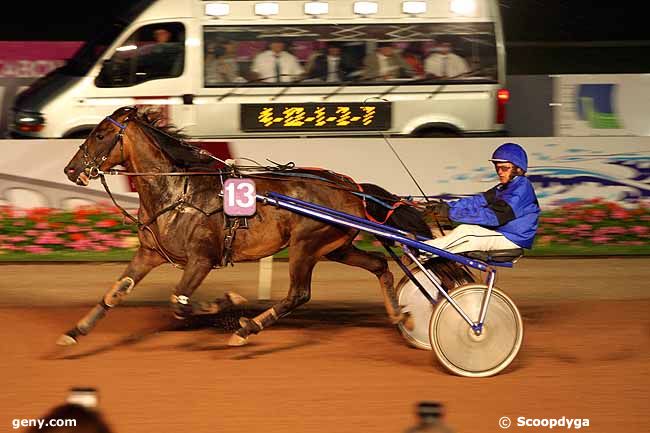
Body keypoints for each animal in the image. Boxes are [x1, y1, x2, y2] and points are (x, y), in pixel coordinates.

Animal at [59, 106, 466, 346]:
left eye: (99, 134)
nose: (71, 170)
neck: (178, 191)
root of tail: (352, 188)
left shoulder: (202, 259)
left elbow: (180, 301)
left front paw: (227, 303)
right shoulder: (149, 253)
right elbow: (115, 293)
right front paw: (75, 332)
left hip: (305, 244)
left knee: (298, 294)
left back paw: (247, 328)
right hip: (335, 247)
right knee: (381, 265)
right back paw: (400, 315)